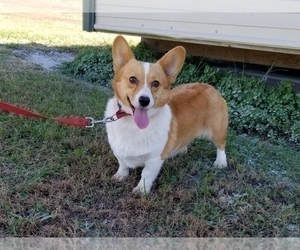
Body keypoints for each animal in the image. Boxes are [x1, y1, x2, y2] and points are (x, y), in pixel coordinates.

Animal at [105, 35, 227, 194]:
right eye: (132, 79)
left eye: (156, 83)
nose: (144, 100)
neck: (132, 124)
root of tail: (209, 86)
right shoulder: (118, 150)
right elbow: (122, 164)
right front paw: (120, 176)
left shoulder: (155, 159)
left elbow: (146, 174)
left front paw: (141, 190)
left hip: (216, 131)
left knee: (221, 145)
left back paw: (221, 162)